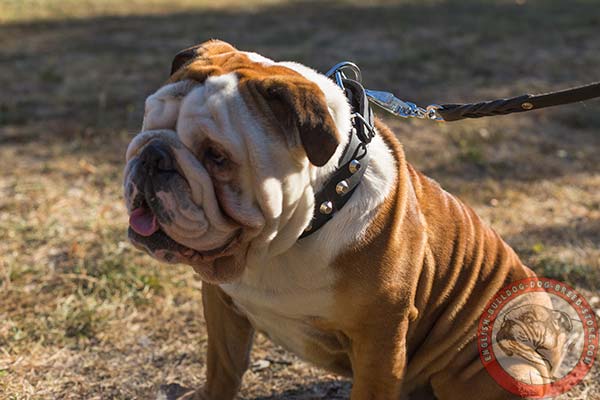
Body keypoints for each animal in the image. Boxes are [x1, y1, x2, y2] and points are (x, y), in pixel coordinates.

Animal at [124, 41, 564, 400]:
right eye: (148, 123)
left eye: (217, 157)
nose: (153, 156)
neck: (293, 234)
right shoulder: (221, 304)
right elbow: (223, 369)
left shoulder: (380, 339)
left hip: (502, 367)